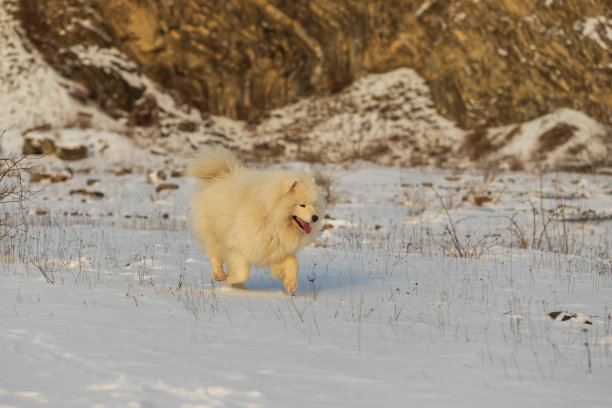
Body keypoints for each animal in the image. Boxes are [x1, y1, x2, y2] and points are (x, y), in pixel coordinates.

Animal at [189, 147, 326, 294]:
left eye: (313, 205)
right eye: (302, 205)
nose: (315, 217)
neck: (270, 217)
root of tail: (219, 176)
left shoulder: (278, 249)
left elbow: (292, 263)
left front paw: (290, 283)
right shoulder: (240, 244)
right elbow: (242, 272)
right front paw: (231, 279)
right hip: (213, 232)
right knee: (214, 255)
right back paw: (220, 275)